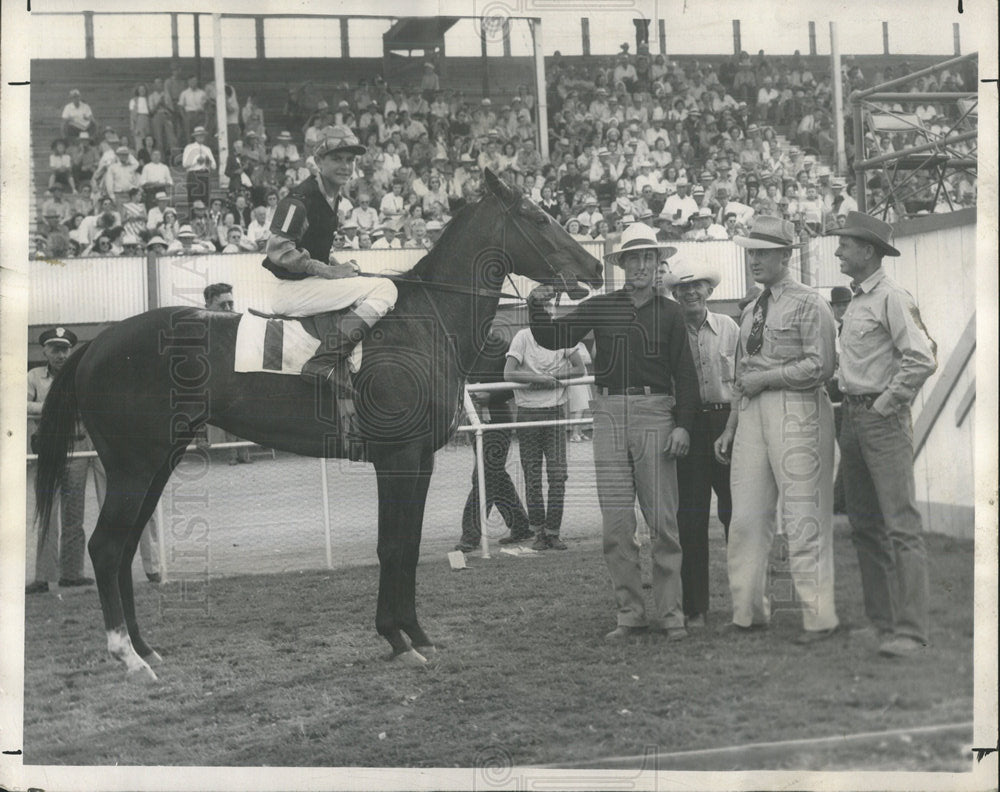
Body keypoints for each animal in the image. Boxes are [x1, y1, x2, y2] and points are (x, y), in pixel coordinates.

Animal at [35, 169, 600, 680]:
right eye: (537, 217)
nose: (595, 267)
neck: (422, 322)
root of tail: (96, 344)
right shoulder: (397, 458)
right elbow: (392, 545)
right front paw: (396, 638)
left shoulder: (419, 459)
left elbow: (409, 545)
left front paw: (415, 635)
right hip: (133, 467)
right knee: (106, 547)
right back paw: (126, 655)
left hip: (155, 464)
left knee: (125, 548)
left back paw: (145, 648)